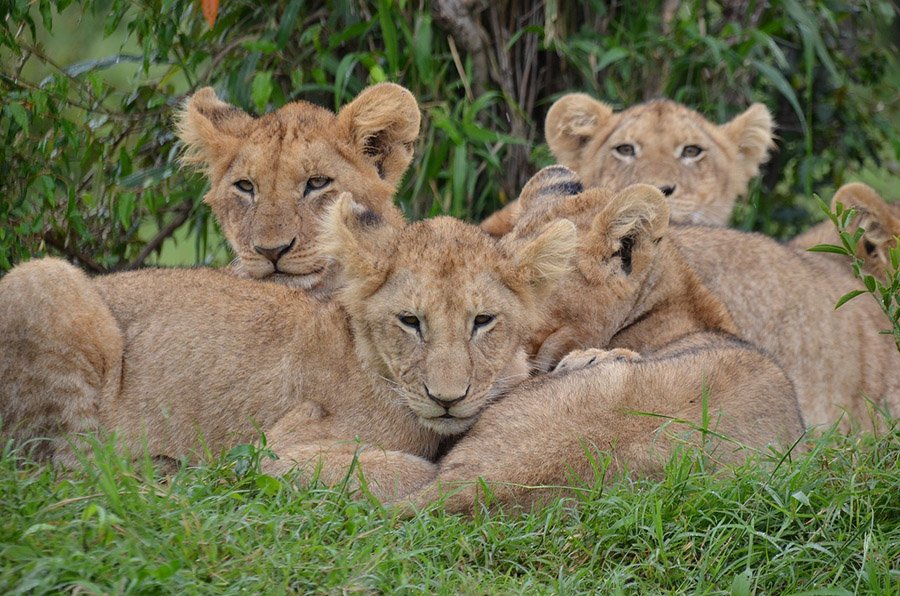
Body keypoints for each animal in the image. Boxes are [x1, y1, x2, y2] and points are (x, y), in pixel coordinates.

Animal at [0, 193, 577, 501]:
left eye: (483, 321)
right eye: (410, 321)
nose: (448, 398)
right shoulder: (274, 451)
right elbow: (403, 469)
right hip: (44, 277)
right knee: (63, 466)